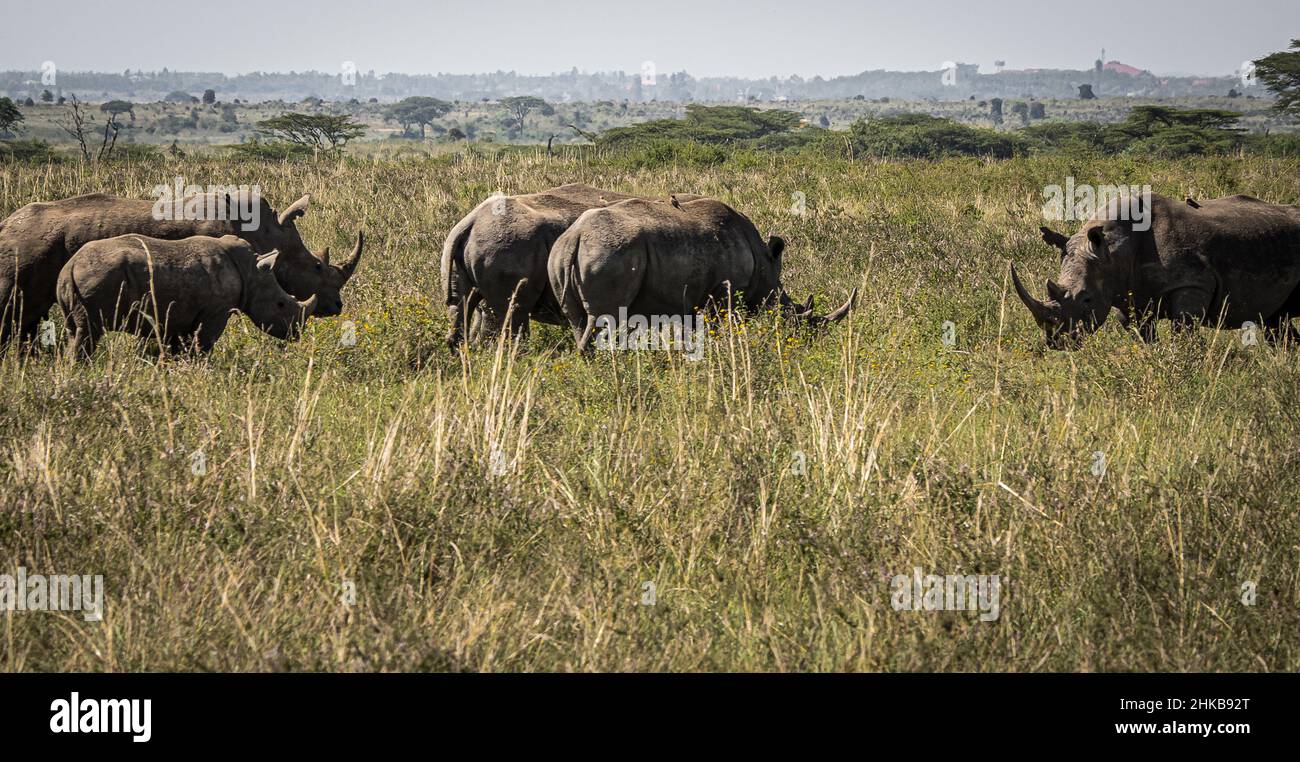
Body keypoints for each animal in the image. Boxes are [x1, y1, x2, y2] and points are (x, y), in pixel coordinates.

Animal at [0, 189, 361, 343]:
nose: (337, 306)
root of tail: (6, 224)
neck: (265, 230)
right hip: (22, 248)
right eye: (317, 267)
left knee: (27, 317)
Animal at [57, 232, 317, 356]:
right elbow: (204, 345)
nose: (297, 334)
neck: (251, 272)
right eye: (281, 304)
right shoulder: (216, 312)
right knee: (88, 331)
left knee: (74, 330)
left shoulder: (180, 313)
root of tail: (70, 266)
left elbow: (178, 348)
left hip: (75, 281)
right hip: (96, 278)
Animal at [546, 193, 852, 351]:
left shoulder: (690, 299)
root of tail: (576, 237)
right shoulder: (723, 295)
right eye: (793, 317)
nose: (802, 347)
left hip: (559, 256)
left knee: (578, 321)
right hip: (607, 253)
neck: (767, 271)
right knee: (601, 319)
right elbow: (717, 328)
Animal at [1013, 191, 1300, 348]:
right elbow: (1145, 338)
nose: (1056, 341)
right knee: (1277, 321)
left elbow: (1184, 332)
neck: (1114, 251)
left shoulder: (1192, 285)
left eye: (1087, 299)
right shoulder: (1128, 298)